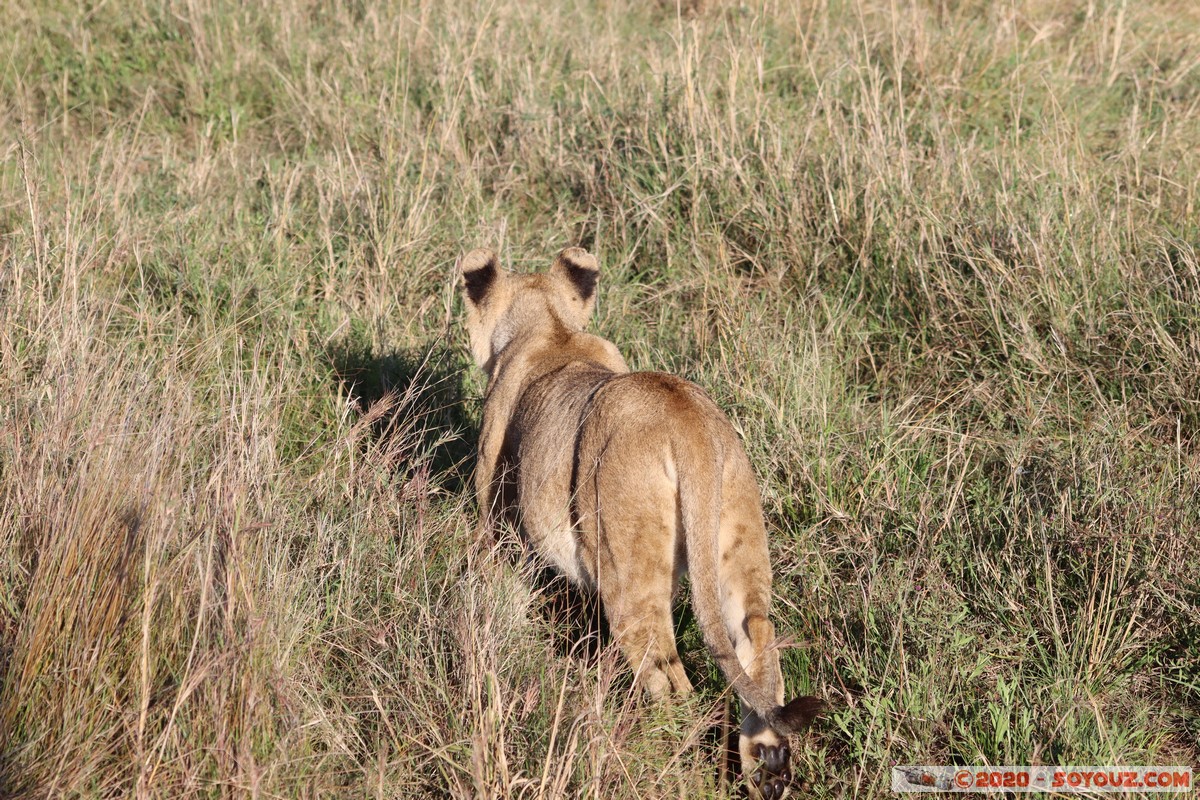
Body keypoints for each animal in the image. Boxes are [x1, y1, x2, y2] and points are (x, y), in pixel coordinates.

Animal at [459, 246, 822, 799]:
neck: (550, 328)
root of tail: (687, 423)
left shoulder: (496, 511)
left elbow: (498, 592)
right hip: (737, 532)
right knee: (757, 639)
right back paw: (766, 766)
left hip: (628, 568)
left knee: (669, 677)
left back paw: (650, 755)